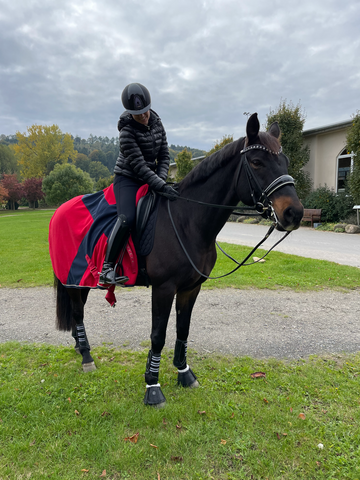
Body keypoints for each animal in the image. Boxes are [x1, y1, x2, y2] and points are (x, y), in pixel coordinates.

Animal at [50, 111, 304, 404]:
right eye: (257, 162)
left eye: (285, 161)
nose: (294, 213)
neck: (187, 221)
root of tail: (60, 210)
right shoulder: (163, 288)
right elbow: (158, 335)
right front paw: (152, 385)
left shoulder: (191, 288)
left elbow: (183, 330)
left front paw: (184, 372)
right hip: (72, 280)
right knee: (78, 314)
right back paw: (86, 357)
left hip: (82, 280)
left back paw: (80, 348)